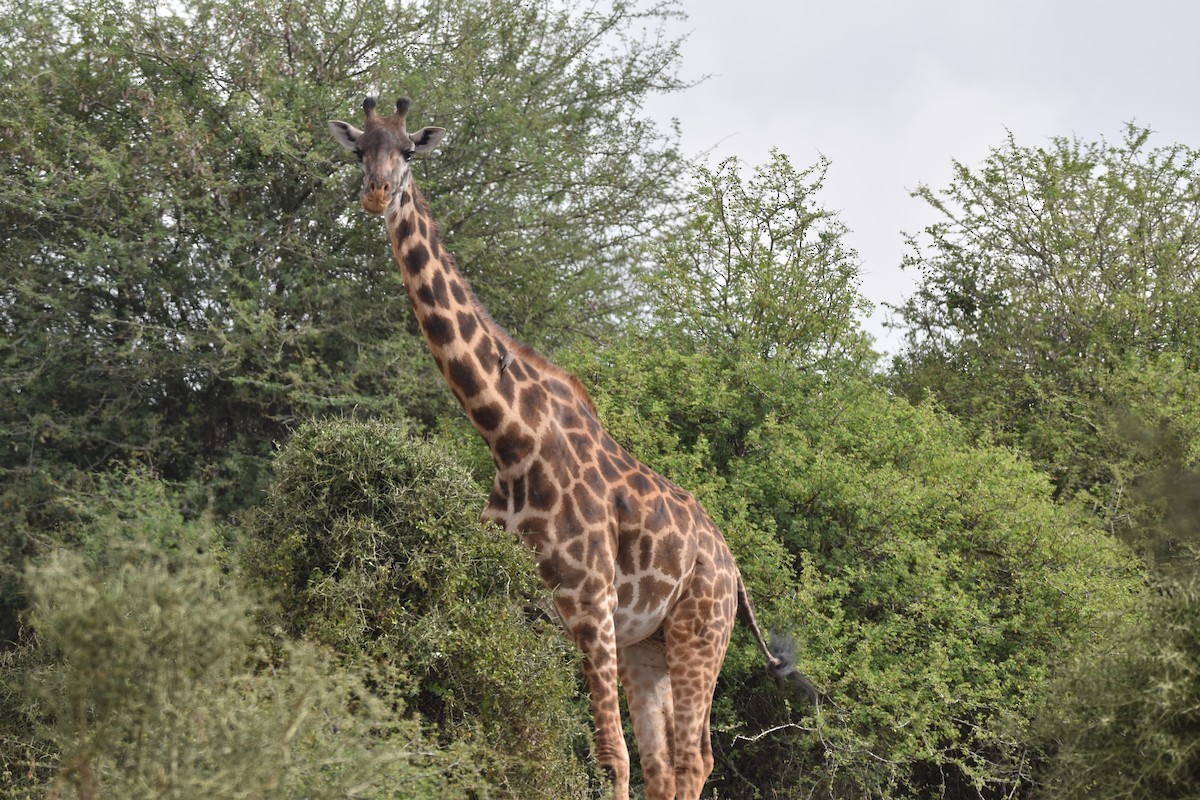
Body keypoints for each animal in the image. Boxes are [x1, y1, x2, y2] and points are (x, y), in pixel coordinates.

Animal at [328, 96, 814, 800]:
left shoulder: (589, 603)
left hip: (700, 630)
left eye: (410, 151)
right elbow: (513, 737)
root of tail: (734, 569)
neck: (509, 437)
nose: (375, 193)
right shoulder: (520, 606)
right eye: (360, 149)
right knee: (666, 762)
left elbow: (609, 754)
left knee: (693, 757)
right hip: (647, 643)